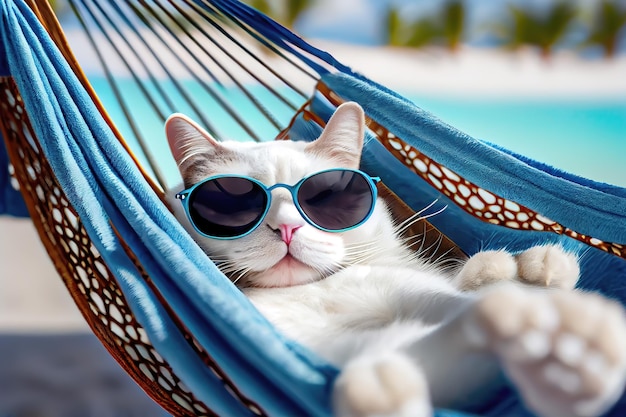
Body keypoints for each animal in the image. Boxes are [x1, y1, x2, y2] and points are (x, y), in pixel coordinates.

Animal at [166, 101, 624, 416]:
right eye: (234, 202)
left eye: (324, 196)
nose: (286, 227)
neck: (318, 292)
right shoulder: (331, 349)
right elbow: (456, 333)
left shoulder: (417, 295)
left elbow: (464, 309)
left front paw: (567, 350)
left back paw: (537, 269)